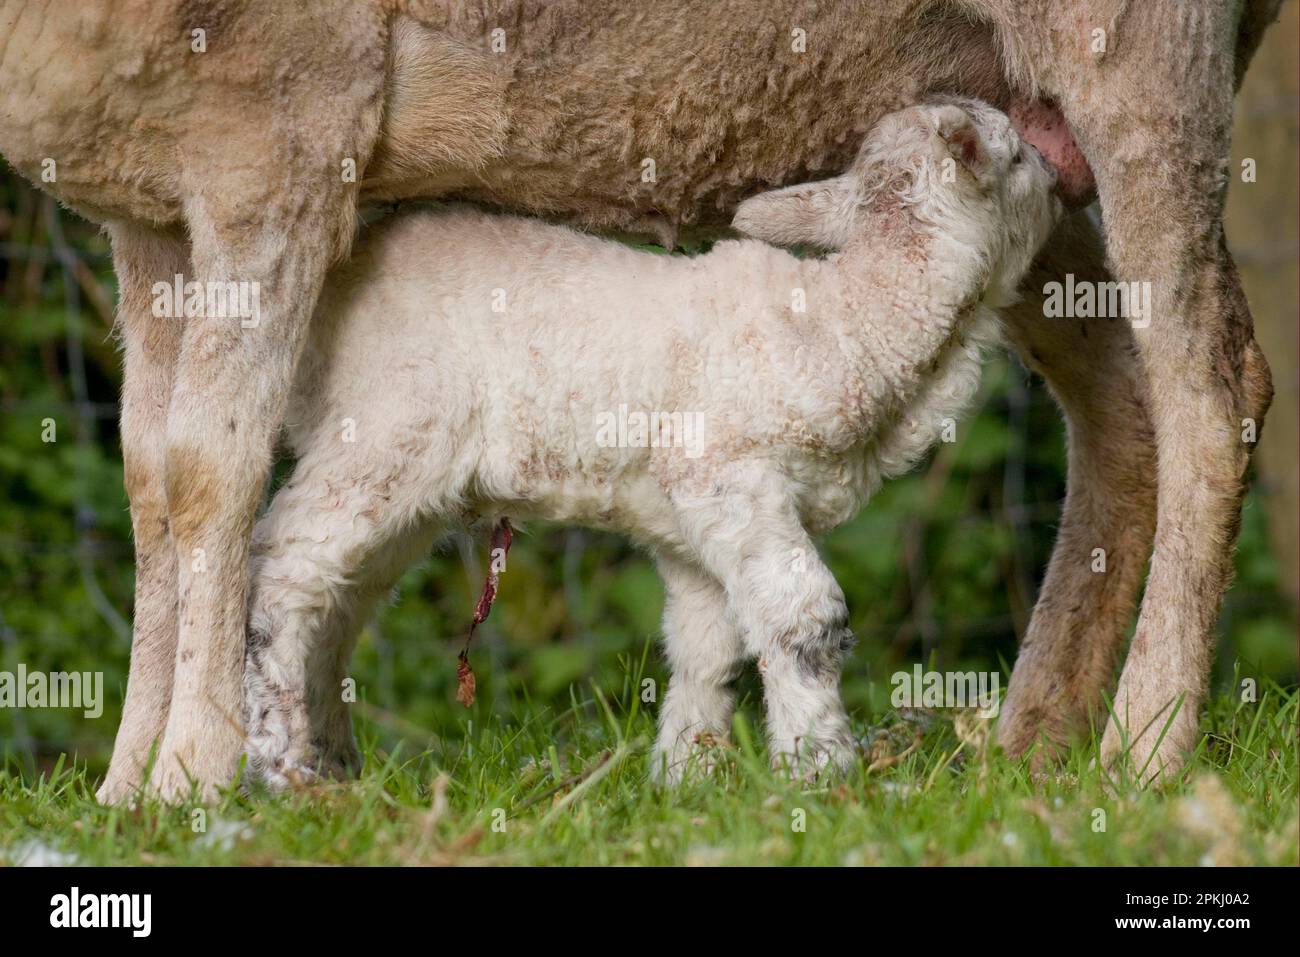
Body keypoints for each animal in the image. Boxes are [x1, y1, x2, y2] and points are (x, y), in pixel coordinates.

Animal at [242, 98, 1061, 786]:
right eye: (1019, 153)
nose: (1061, 179)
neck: (844, 322)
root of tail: (337, 276)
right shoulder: (729, 476)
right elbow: (806, 618)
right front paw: (821, 769)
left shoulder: (691, 527)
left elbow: (708, 648)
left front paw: (683, 776)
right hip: (382, 432)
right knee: (281, 571)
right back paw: (280, 767)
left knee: (338, 607)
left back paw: (338, 767)